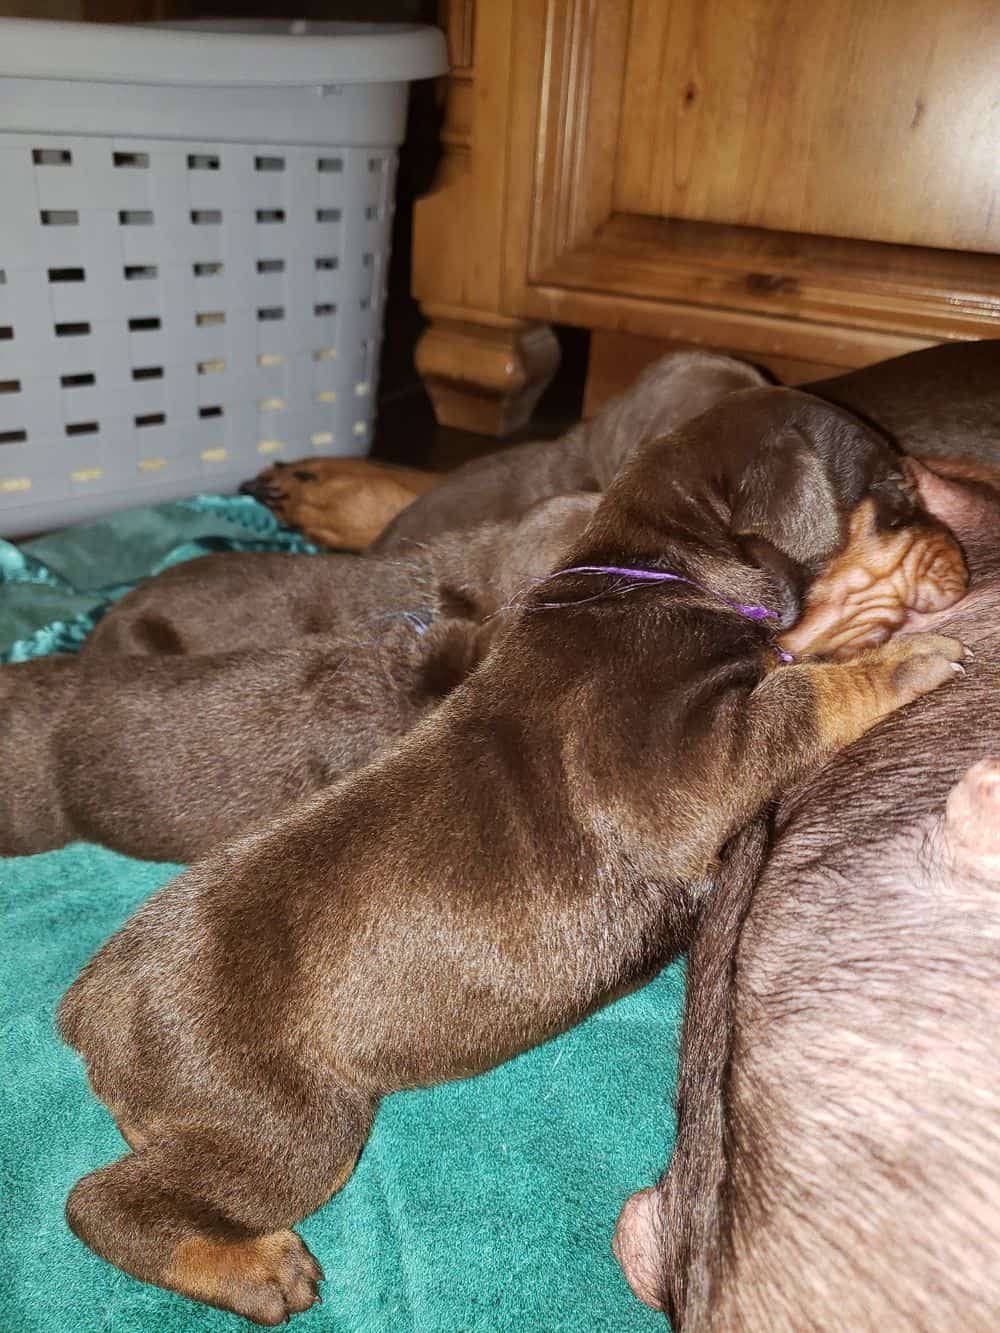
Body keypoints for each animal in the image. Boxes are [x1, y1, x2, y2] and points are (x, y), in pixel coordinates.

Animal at [60, 386, 970, 1322]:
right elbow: (799, 695)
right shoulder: (676, 766)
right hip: (294, 1124)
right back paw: (256, 1269)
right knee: (101, 1203)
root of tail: (88, 1009)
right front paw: (906, 656)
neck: (652, 569)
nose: (964, 549)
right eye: (898, 486)